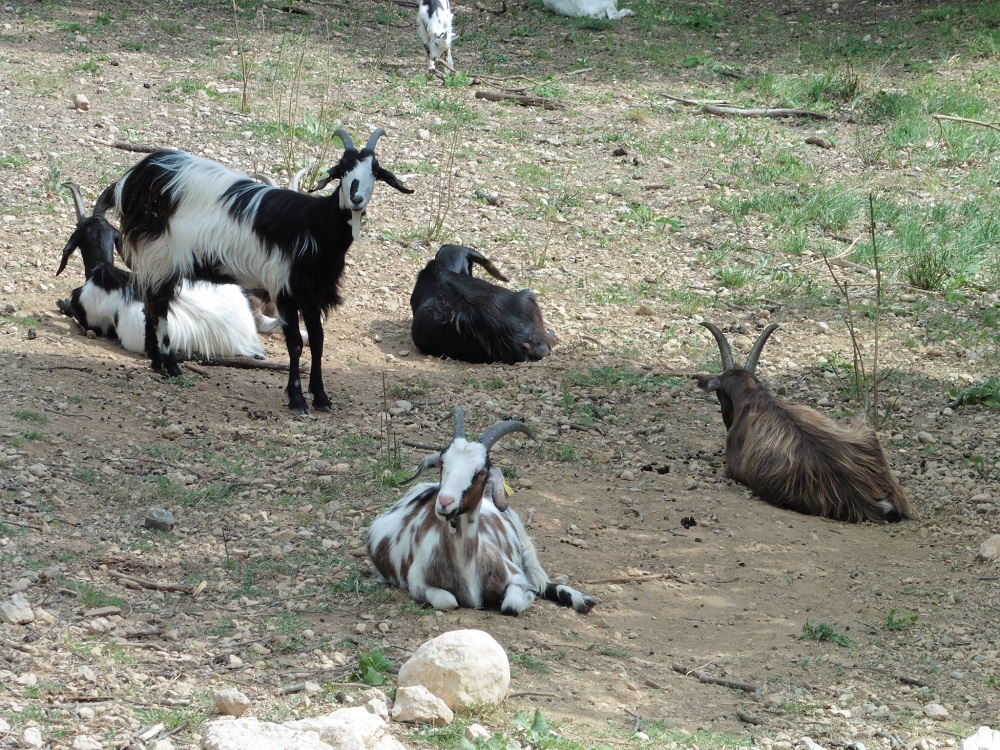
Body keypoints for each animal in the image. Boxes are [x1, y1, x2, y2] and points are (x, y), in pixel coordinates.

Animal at [94, 127, 414, 414]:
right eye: (343, 169)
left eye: (375, 170)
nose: (356, 199)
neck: (315, 225)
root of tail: (133, 177)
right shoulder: (284, 290)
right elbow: (295, 344)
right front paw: (297, 399)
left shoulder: (312, 294)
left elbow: (318, 342)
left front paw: (321, 397)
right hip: (161, 255)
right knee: (159, 306)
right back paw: (170, 365)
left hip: (156, 260)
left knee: (151, 302)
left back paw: (156, 361)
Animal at [368, 412, 592, 616]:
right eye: (443, 463)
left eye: (481, 471)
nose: (445, 502)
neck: (467, 566)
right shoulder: (418, 584)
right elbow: (449, 601)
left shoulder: (515, 575)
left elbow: (511, 605)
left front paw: (528, 596)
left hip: (526, 548)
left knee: (541, 581)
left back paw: (582, 599)